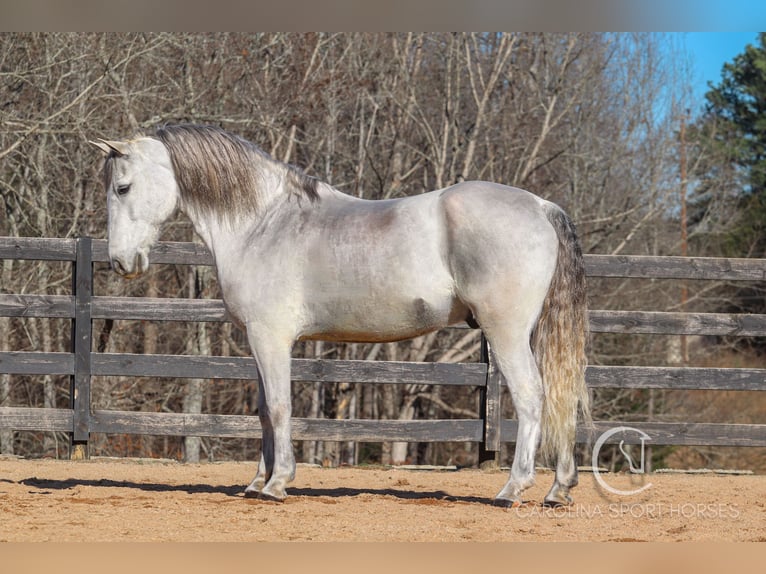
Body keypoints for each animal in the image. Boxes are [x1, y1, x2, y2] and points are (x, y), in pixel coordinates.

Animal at [91, 122, 592, 508]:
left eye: (122, 187)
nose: (121, 262)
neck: (263, 223)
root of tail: (540, 206)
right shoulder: (257, 340)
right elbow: (263, 411)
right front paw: (255, 482)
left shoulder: (270, 338)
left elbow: (279, 406)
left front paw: (277, 484)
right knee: (558, 396)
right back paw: (559, 489)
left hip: (505, 333)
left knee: (531, 397)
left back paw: (513, 489)